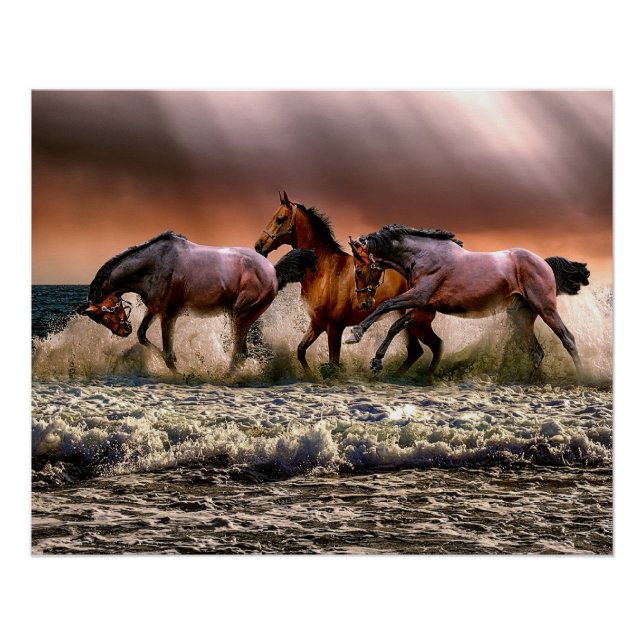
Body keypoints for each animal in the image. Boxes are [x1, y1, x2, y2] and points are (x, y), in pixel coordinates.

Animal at [80, 231, 317, 372]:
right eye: (98, 318)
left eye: (104, 311)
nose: (123, 331)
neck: (154, 265)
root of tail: (274, 272)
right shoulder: (154, 309)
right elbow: (142, 336)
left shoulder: (169, 315)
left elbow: (168, 353)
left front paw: (181, 373)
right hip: (241, 318)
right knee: (241, 353)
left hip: (241, 316)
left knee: (239, 354)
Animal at [254, 192, 424, 377]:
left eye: (280, 219)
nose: (258, 246)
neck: (324, 272)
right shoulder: (317, 323)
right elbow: (301, 350)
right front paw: (312, 376)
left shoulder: (335, 327)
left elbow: (333, 364)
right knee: (416, 350)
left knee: (419, 349)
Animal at [346, 224, 590, 379]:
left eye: (358, 270)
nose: (363, 303)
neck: (422, 256)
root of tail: (544, 263)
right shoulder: (423, 308)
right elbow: (396, 326)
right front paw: (376, 361)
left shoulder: (419, 296)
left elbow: (386, 306)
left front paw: (355, 333)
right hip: (521, 316)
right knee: (537, 352)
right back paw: (527, 380)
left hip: (545, 309)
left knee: (568, 338)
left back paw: (583, 378)